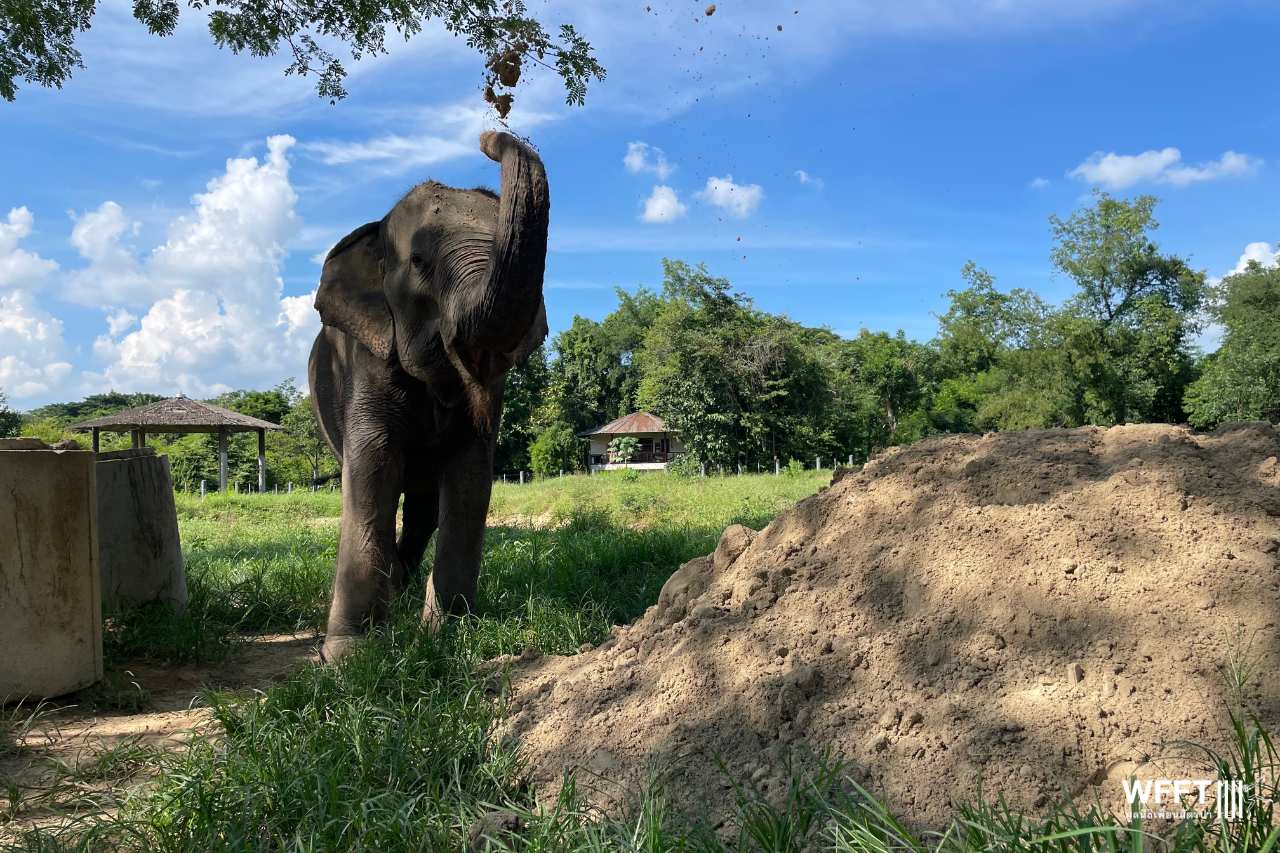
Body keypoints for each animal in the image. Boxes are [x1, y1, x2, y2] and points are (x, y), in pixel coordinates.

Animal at [312, 133, 552, 660]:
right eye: (419, 263)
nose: (490, 137)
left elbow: (470, 475)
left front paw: (450, 634)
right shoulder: (367, 360)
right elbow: (372, 468)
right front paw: (350, 657)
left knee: (423, 510)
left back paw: (402, 588)